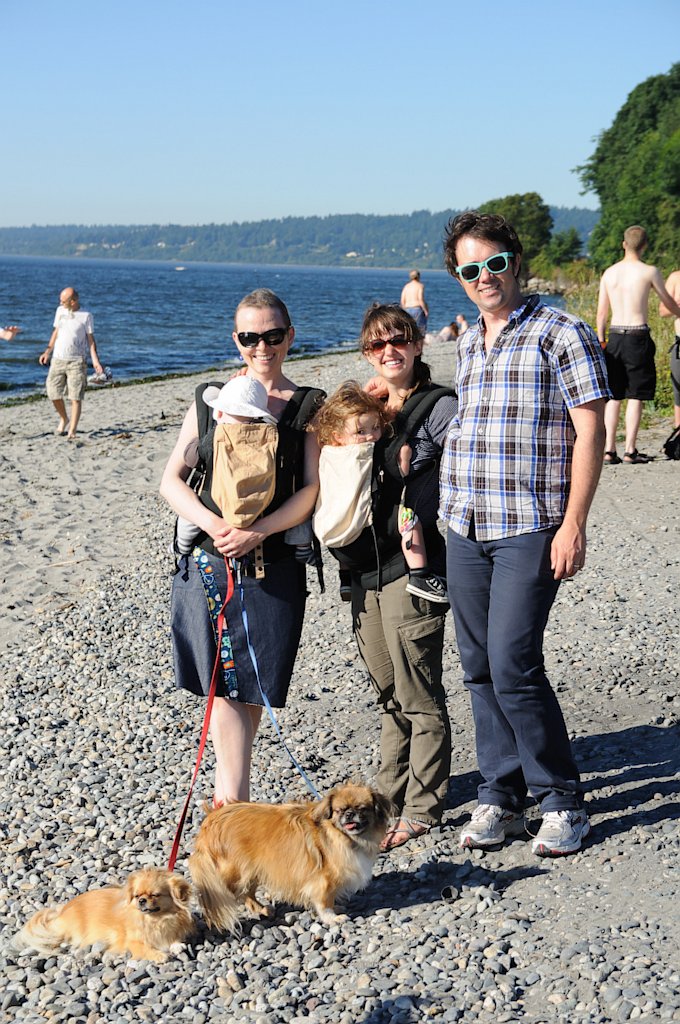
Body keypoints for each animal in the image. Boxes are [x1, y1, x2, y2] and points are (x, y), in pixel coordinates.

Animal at [14, 867, 193, 963]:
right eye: (137, 896)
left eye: (155, 895)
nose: (142, 901)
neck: (156, 920)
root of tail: (62, 912)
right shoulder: (131, 942)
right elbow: (145, 948)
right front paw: (160, 955)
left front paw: (175, 945)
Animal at [189, 782, 392, 931]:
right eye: (340, 810)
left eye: (362, 809)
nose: (350, 814)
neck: (342, 836)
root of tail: (209, 822)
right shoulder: (323, 880)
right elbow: (325, 901)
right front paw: (332, 918)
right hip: (236, 871)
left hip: (252, 870)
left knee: (247, 893)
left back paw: (263, 909)